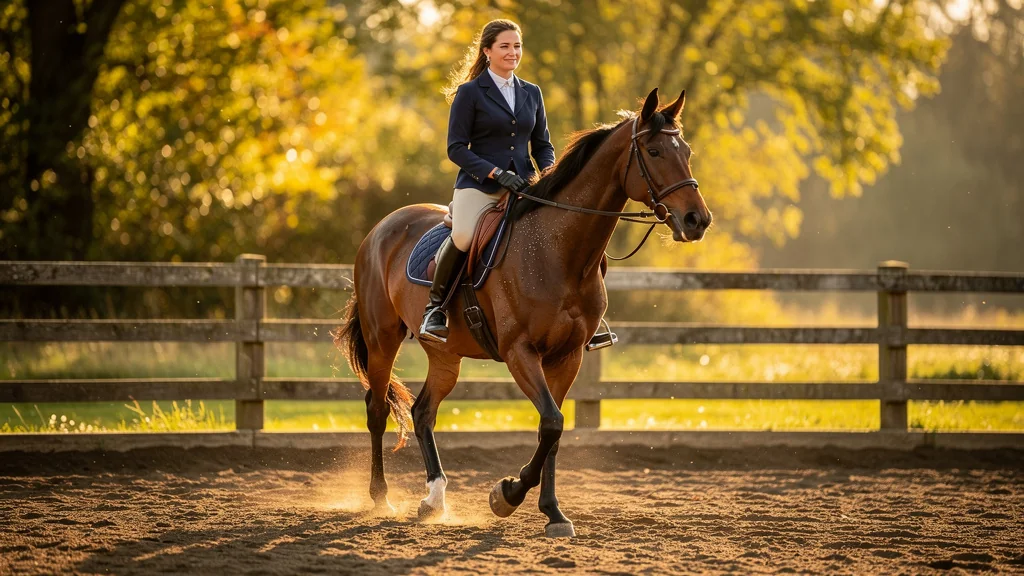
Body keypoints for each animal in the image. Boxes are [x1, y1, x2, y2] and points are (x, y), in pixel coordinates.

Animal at [333, 88, 712, 538]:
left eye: (685, 151)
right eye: (653, 151)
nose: (697, 220)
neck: (558, 251)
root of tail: (381, 228)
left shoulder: (568, 357)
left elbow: (555, 429)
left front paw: (553, 513)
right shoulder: (520, 352)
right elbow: (551, 423)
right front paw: (506, 495)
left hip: (444, 353)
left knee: (423, 411)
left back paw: (434, 500)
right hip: (382, 339)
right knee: (376, 409)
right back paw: (381, 498)